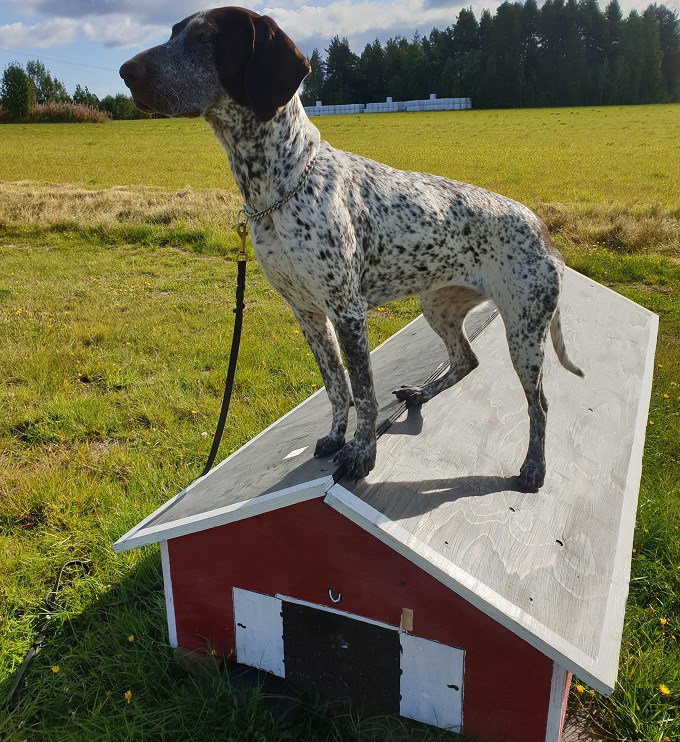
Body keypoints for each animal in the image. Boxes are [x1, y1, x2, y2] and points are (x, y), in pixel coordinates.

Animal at [119, 8, 580, 494]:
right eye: (174, 32)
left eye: (205, 37)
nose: (126, 72)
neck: (278, 188)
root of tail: (542, 228)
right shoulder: (307, 313)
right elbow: (336, 386)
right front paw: (337, 436)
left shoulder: (346, 311)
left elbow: (363, 392)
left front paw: (362, 453)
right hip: (438, 305)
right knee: (465, 359)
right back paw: (419, 395)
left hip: (524, 331)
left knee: (539, 403)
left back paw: (534, 467)